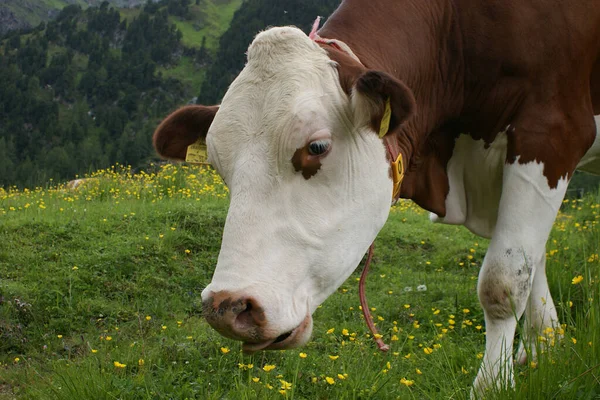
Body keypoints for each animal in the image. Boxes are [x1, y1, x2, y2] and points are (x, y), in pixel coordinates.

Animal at [152, 0, 600, 394]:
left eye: (316, 147)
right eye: (218, 164)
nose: (227, 308)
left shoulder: (552, 132)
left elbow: (503, 282)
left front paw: (493, 386)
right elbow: (531, 259)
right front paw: (545, 348)